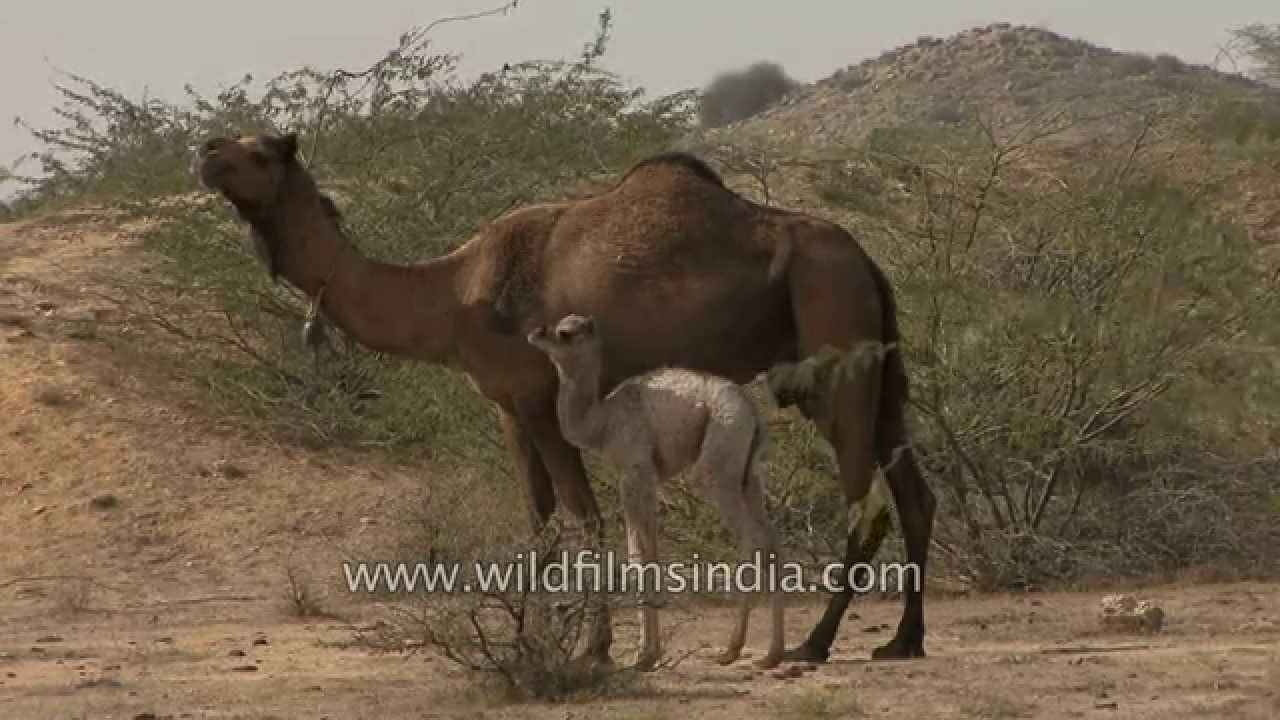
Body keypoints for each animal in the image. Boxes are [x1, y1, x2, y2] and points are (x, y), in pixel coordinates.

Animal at [527, 313, 784, 670]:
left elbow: (641, 554)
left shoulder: (636, 472)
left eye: (565, 333)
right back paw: (772, 654)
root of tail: (753, 412)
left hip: (718, 461)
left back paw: (731, 649)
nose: (535, 332)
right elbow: (646, 551)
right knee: (772, 539)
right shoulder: (644, 479)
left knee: (752, 537)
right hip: (749, 474)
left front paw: (646, 654)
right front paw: (648, 650)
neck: (602, 423)